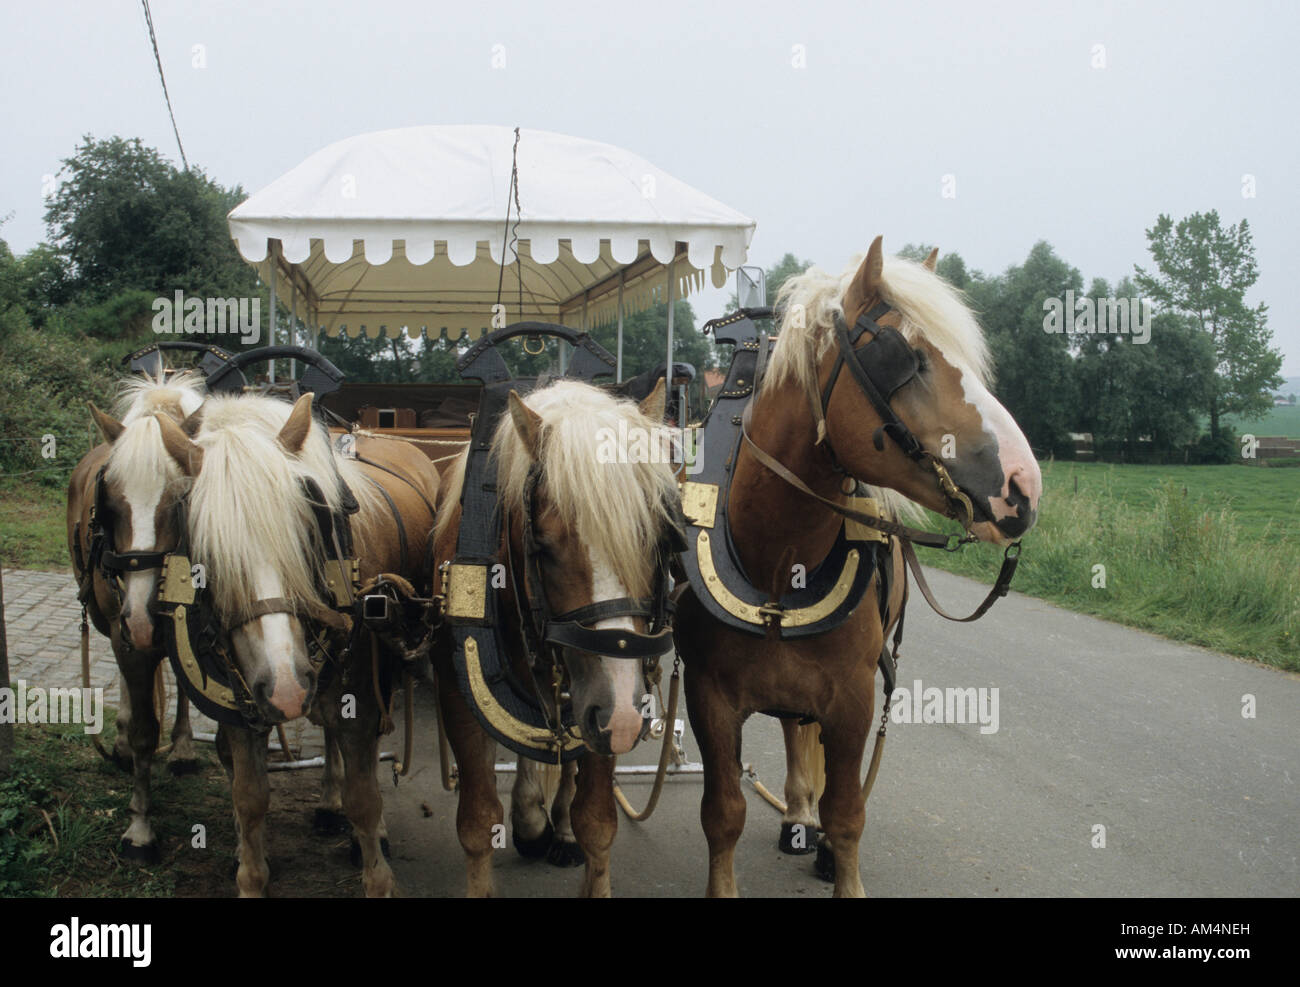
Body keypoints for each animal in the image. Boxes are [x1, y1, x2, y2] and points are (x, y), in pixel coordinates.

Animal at [66, 374, 205, 863]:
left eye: (182, 497)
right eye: (107, 499)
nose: (145, 620)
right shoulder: (126, 632)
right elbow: (145, 728)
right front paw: (140, 828)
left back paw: (181, 747)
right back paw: (124, 742)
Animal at [154, 392, 439, 894]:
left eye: (307, 533)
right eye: (205, 559)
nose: (287, 688)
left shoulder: (361, 701)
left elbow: (365, 798)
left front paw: (378, 874)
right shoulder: (242, 704)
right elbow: (249, 798)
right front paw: (250, 875)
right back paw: (326, 803)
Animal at [434, 377, 686, 894]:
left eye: (657, 540)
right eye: (544, 546)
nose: (625, 716)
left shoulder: (600, 713)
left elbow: (597, 820)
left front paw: (574, 831)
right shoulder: (457, 695)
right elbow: (477, 821)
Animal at [676, 237, 1040, 894]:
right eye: (908, 358)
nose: (1024, 486)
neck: (778, 566)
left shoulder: (851, 699)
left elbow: (847, 814)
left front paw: (835, 853)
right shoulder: (708, 695)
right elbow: (722, 815)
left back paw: (807, 824)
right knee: (794, 728)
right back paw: (797, 812)